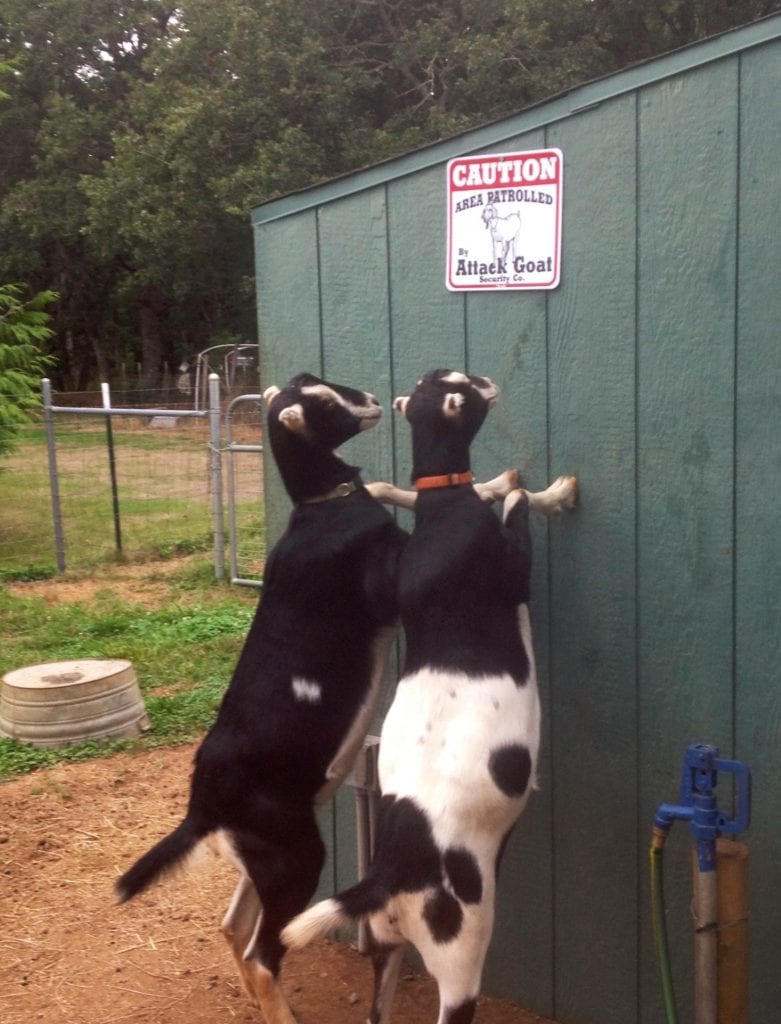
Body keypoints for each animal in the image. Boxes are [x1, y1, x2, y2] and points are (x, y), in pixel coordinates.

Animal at [116, 372, 411, 1024]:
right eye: (323, 403)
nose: (373, 402)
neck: (322, 513)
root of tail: (203, 806)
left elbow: (382, 486)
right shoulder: (389, 585)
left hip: (264, 859)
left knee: (232, 927)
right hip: (296, 858)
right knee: (260, 951)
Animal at [284, 370, 577, 1024]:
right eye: (464, 387)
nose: (489, 380)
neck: (444, 513)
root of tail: (388, 875)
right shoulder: (512, 563)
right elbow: (519, 506)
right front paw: (552, 491)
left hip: (385, 949)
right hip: (460, 955)